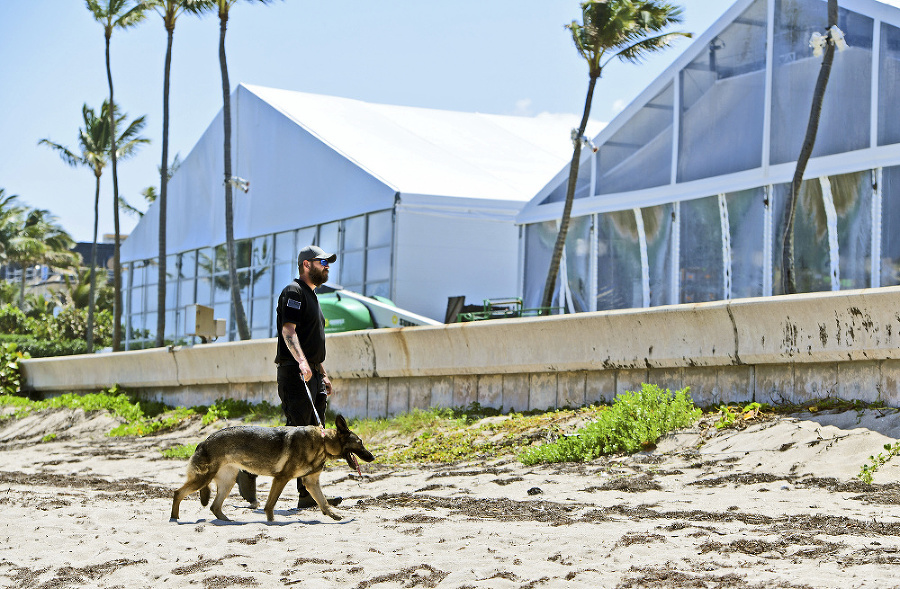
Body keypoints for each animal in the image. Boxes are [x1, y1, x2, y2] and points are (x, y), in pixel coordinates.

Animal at [172, 412, 372, 520]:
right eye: (360, 443)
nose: (372, 457)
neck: (323, 441)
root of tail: (204, 441)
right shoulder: (281, 478)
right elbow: (271, 504)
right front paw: (271, 520)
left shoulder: (311, 482)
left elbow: (323, 503)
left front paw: (334, 516)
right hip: (202, 478)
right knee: (178, 493)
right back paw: (174, 518)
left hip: (227, 482)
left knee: (214, 506)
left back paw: (228, 521)